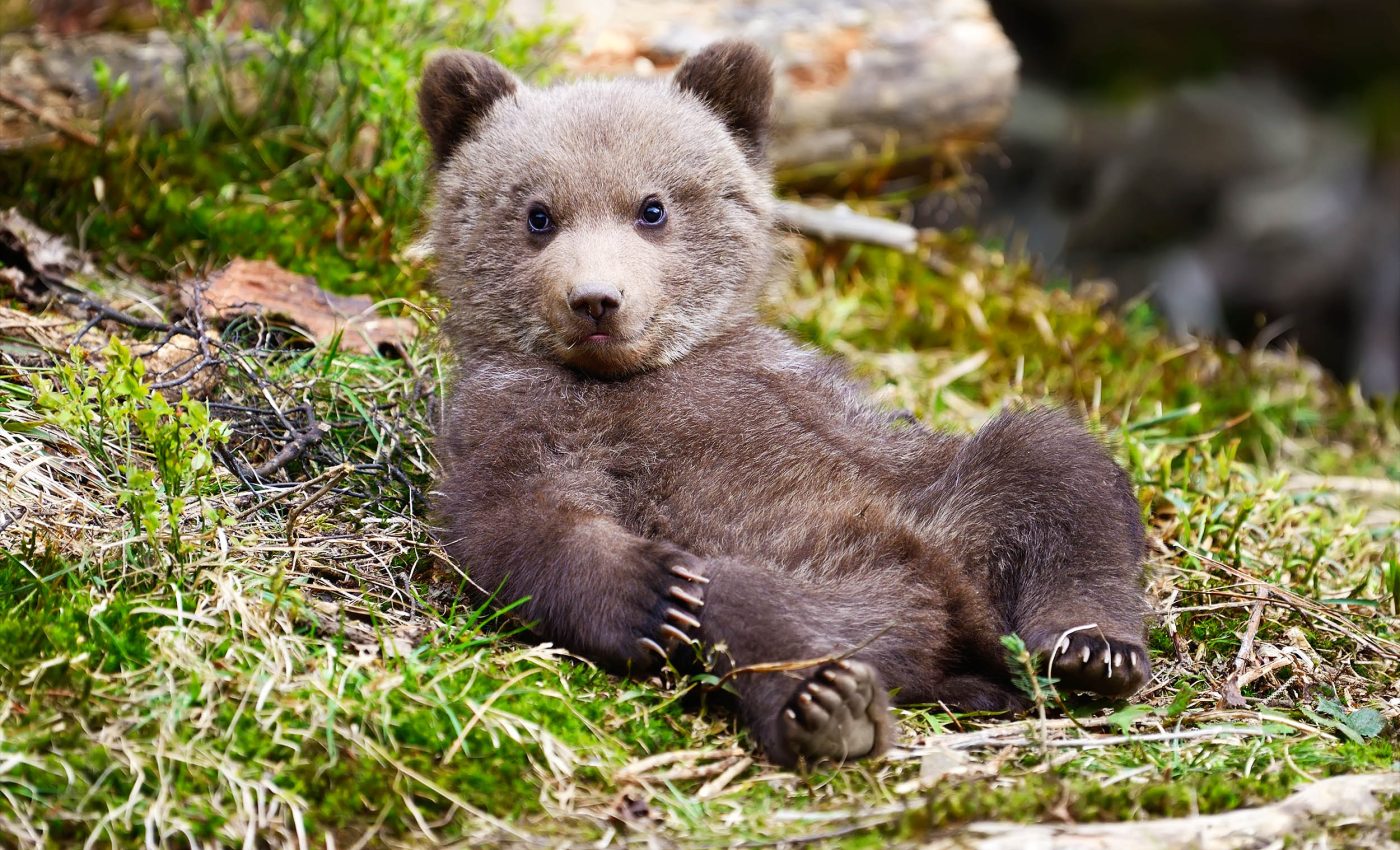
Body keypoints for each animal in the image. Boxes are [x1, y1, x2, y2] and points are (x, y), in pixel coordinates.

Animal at [418, 40, 1151, 766]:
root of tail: (961, 619)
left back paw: (1094, 649)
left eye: (652, 207)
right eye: (538, 215)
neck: (627, 376)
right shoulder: (515, 418)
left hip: (951, 513)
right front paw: (650, 592)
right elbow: (517, 523)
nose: (596, 299)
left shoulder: (793, 385)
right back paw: (829, 704)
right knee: (746, 603)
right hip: (818, 581)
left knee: (1053, 466)